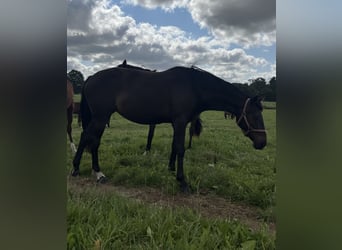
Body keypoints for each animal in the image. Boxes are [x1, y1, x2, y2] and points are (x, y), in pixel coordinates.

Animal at [72, 65, 268, 191]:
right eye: (254, 116)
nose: (262, 143)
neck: (194, 86)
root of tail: (91, 78)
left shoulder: (178, 123)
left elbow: (174, 147)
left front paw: (171, 169)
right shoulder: (180, 122)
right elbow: (180, 149)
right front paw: (182, 182)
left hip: (101, 118)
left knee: (94, 141)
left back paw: (97, 172)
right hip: (100, 117)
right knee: (87, 137)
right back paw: (77, 169)